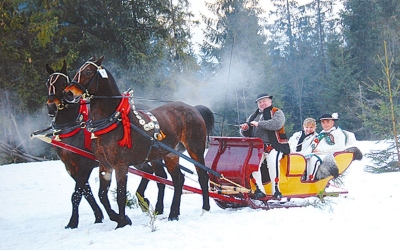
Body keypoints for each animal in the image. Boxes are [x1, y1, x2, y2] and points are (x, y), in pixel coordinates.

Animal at [63, 56, 212, 227]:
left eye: (88, 71)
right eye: (78, 71)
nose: (67, 93)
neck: (112, 121)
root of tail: (193, 108)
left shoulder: (120, 166)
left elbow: (121, 195)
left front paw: (121, 223)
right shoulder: (104, 166)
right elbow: (102, 195)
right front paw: (118, 218)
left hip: (195, 149)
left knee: (203, 176)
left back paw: (205, 209)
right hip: (170, 154)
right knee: (178, 180)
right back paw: (174, 214)